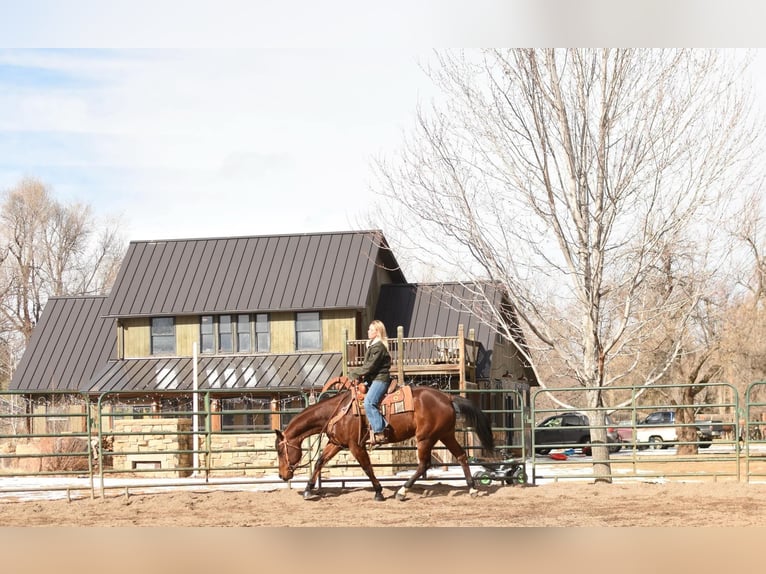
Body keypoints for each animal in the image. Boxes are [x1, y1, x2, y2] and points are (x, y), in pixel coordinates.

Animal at [274, 377, 495, 501]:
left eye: (279, 450)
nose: (282, 475)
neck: (337, 411)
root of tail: (447, 397)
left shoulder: (356, 446)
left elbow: (367, 467)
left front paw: (379, 492)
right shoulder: (336, 443)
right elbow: (320, 461)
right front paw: (308, 490)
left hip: (425, 438)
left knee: (424, 464)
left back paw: (402, 492)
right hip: (445, 435)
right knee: (461, 456)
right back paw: (472, 489)